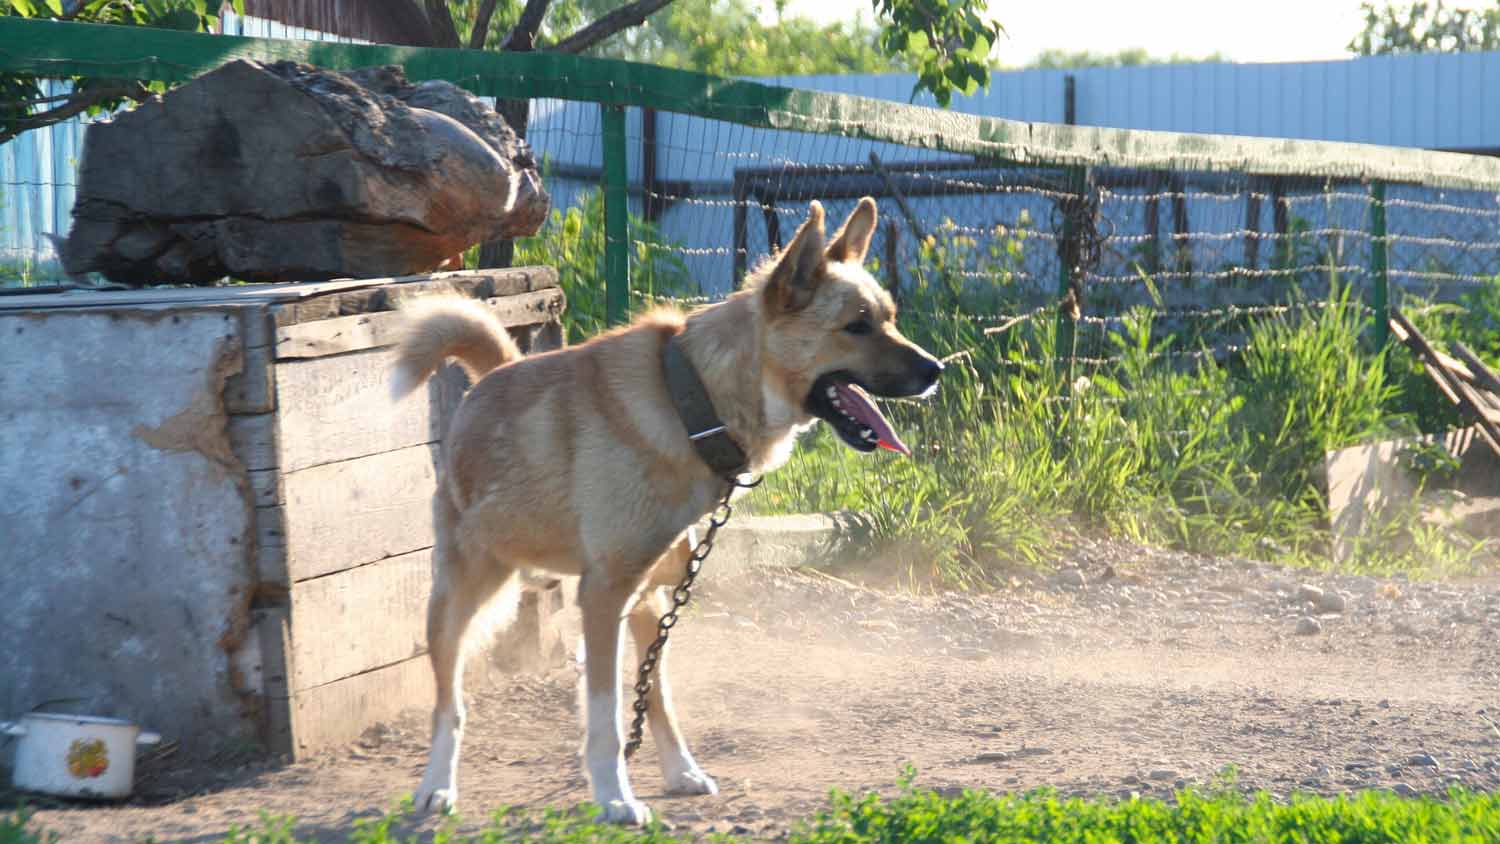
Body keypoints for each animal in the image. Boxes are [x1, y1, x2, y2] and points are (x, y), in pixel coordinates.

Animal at [393, 196, 942, 827]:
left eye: (890, 318)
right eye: (856, 325)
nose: (938, 371)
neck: (691, 400)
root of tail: (494, 376)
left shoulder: (648, 596)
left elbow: (654, 696)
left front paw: (670, 774)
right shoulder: (603, 596)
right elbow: (605, 717)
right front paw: (614, 797)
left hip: (629, 603)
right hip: (457, 598)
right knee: (449, 704)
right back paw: (436, 786)